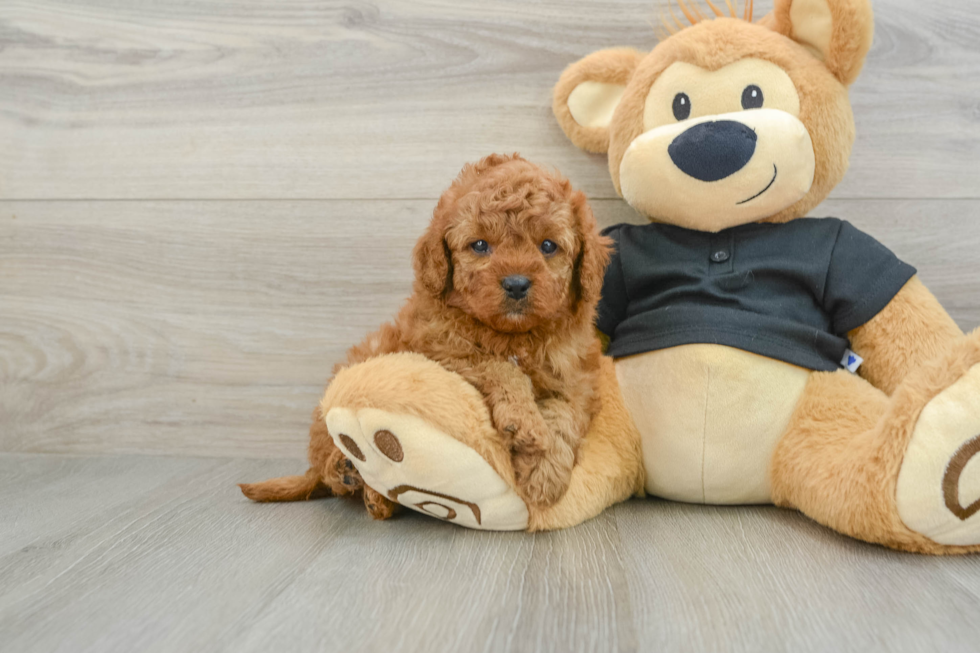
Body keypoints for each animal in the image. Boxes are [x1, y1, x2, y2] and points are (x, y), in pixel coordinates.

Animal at [241, 153, 608, 516]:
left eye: (548, 246)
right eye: (479, 245)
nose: (516, 283)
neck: (512, 334)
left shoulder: (576, 375)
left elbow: (565, 415)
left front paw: (544, 474)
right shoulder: (440, 352)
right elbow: (499, 367)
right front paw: (525, 423)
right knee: (329, 468)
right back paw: (350, 475)